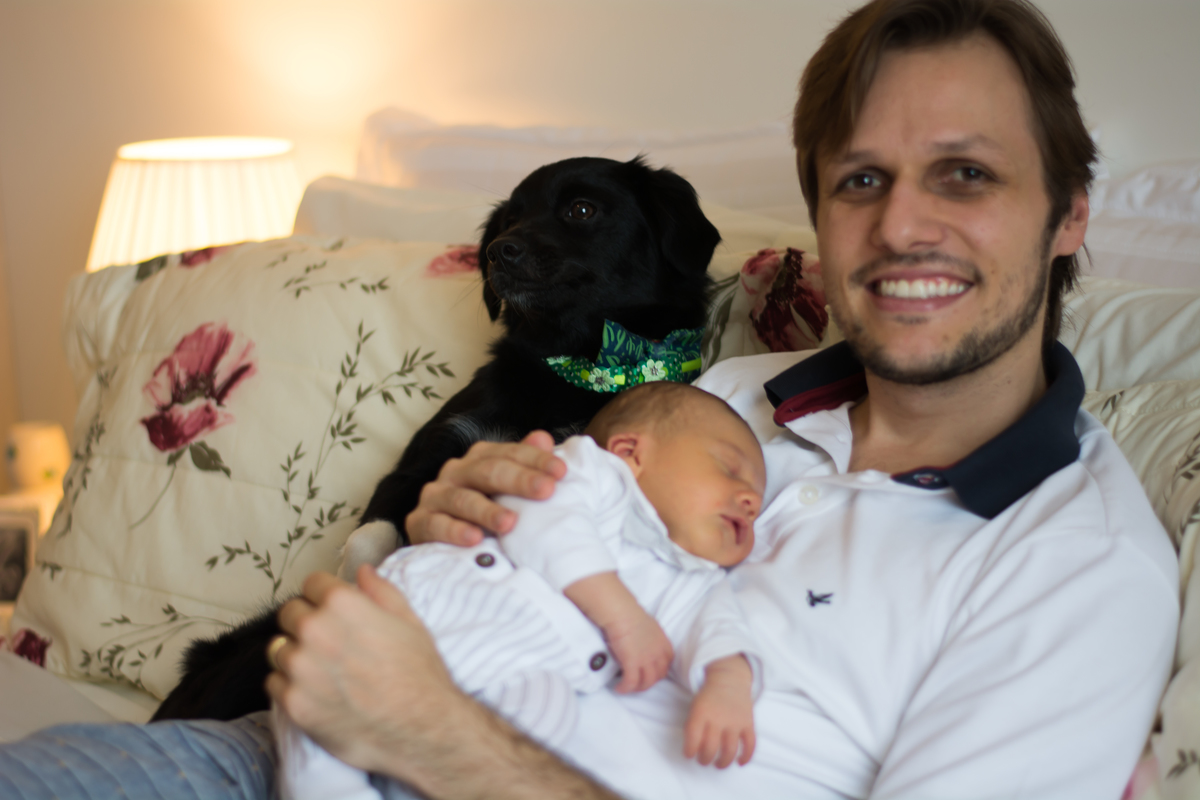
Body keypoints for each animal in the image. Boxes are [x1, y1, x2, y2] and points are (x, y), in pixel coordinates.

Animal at [151, 155, 721, 721]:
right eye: (510, 218)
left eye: (582, 209)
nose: (498, 251)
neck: (561, 369)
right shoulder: (422, 463)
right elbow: (370, 536)